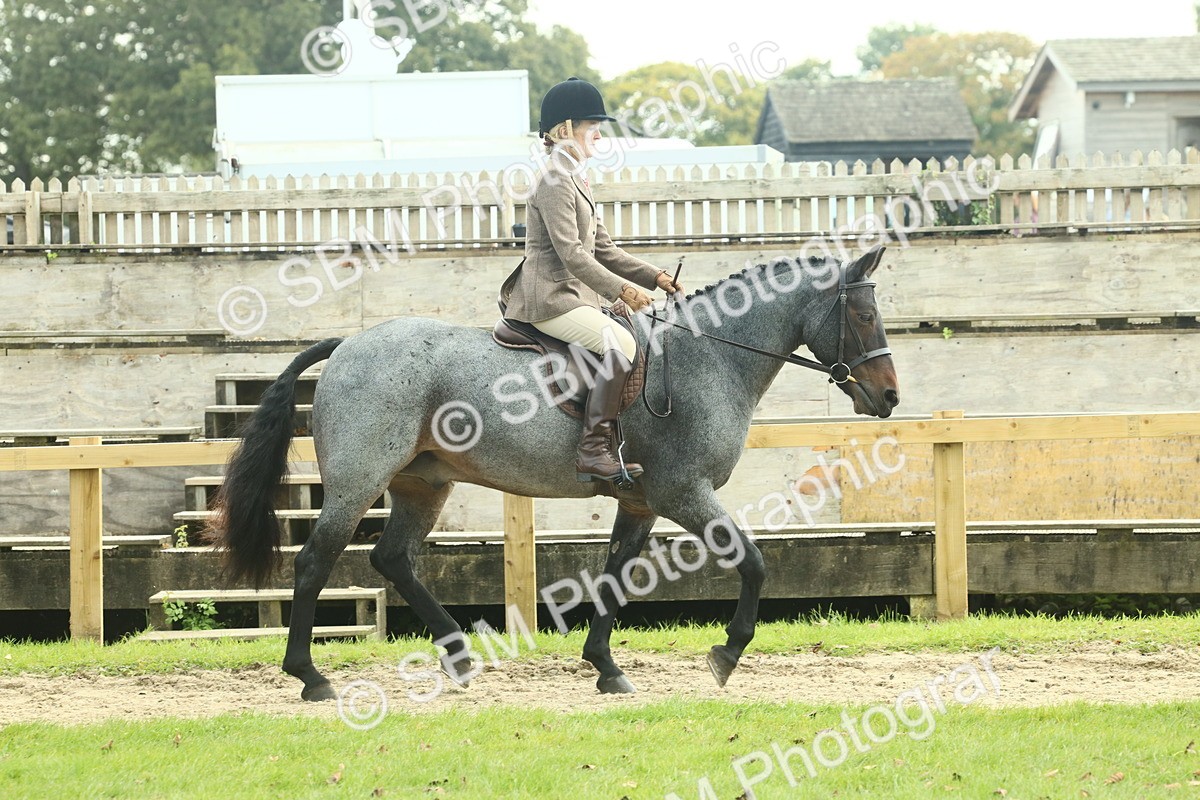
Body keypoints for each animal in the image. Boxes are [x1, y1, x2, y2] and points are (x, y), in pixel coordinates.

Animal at [207, 244, 900, 701]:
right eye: (864, 316)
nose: (889, 397)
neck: (706, 357)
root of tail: (348, 343)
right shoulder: (684, 493)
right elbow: (753, 561)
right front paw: (726, 653)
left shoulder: (641, 501)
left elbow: (616, 576)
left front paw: (606, 668)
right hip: (357, 485)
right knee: (313, 562)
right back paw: (310, 677)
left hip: (423, 484)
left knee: (392, 558)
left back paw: (458, 656)